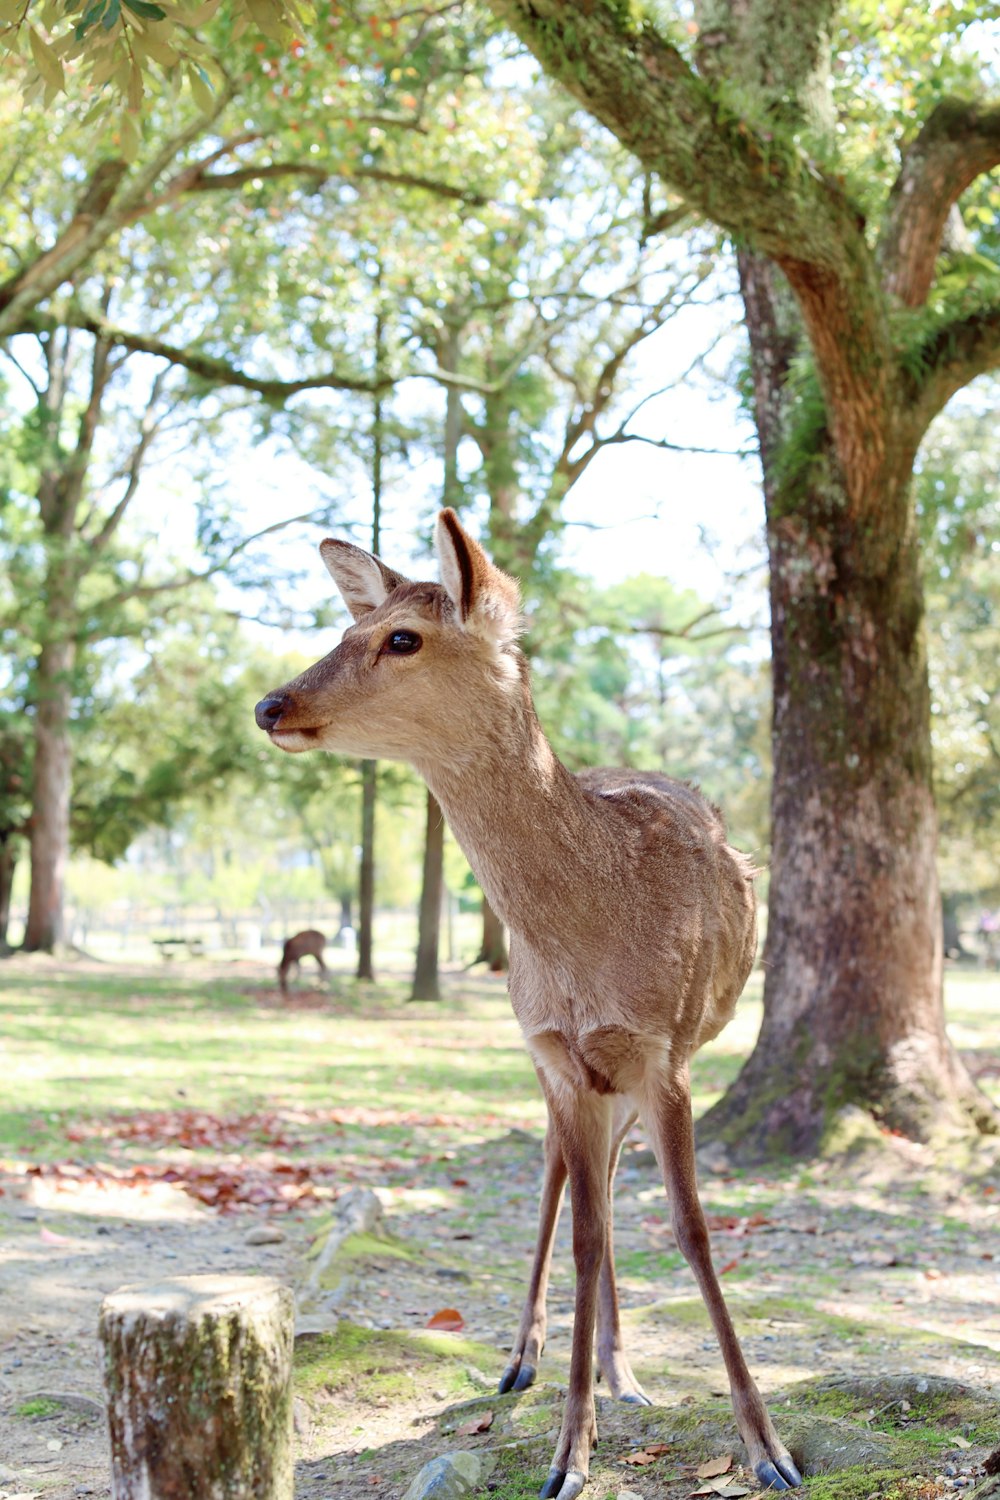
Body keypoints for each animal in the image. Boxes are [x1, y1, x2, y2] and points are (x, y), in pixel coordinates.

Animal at [254, 510, 803, 1494]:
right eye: (351, 626)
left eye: (401, 637)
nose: (270, 706)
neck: (593, 942)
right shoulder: (557, 1052)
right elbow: (582, 1232)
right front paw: (568, 1453)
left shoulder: (659, 1053)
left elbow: (692, 1229)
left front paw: (768, 1449)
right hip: (553, 1069)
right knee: (560, 1182)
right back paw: (524, 1361)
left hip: (632, 1074)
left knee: (608, 1187)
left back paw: (625, 1372)